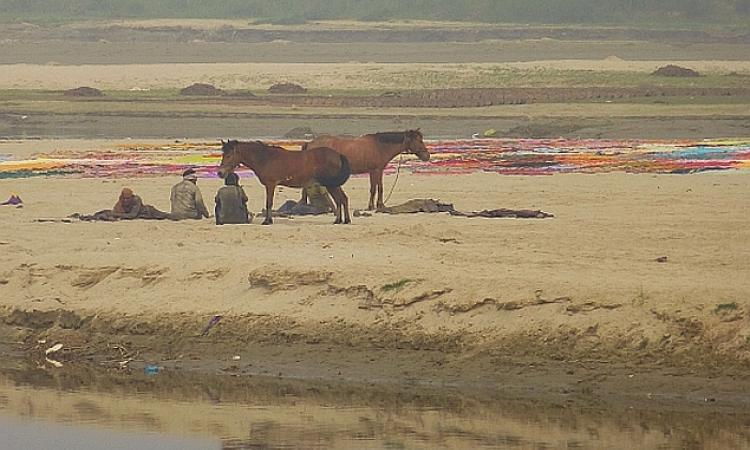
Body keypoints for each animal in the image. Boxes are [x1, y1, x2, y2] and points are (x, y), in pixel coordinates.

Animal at [217, 141, 352, 225]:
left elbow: (269, 203)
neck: (265, 159)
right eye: (223, 154)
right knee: (342, 199)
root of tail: (338, 155)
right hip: (334, 184)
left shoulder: (270, 184)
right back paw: (343, 220)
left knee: (339, 199)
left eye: (229, 155)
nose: (220, 173)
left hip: (331, 185)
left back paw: (340, 220)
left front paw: (267, 221)